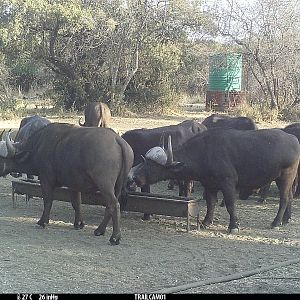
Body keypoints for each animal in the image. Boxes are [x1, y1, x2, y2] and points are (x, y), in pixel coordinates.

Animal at [0, 123, 134, 245]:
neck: (38, 146)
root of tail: (118, 140)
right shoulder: (74, 185)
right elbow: (76, 203)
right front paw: (79, 224)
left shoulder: (46, 180)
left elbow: (48, 201)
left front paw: (42, 222)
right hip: (117, 186)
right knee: (109, 206)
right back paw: (99, 230)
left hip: (104, 184)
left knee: (114, 205)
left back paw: (115, 237)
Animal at [129, 129, 300, 232]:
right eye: (144, 160)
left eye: (151, 165)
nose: (132, 176)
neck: (204, 153)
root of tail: (293, 139)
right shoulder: (209, 185)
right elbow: (211, 203)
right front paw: (205, 222)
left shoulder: (228, 183)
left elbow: (230, 205)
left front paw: (233, 226)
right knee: (290, 197)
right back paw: (286, 219)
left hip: (285, 177)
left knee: (284, 199)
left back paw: (276, 222)